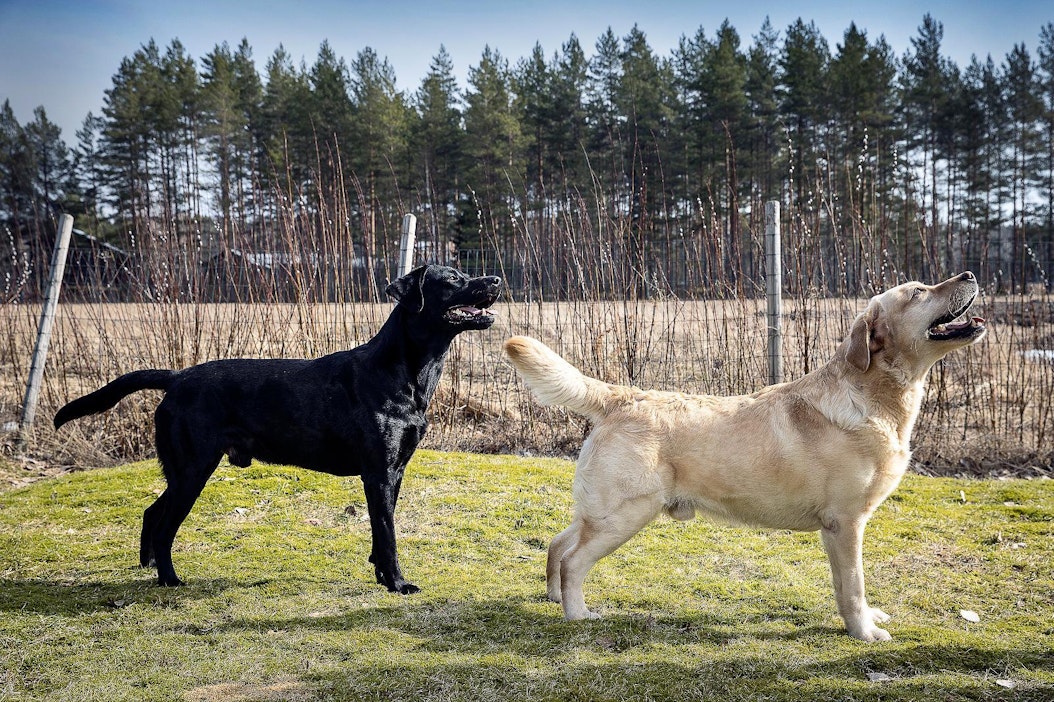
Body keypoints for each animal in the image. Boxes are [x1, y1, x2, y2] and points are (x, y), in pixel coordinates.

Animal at [53, 262, 501, 590]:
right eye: (454, 279)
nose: (496, 279)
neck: (404, 372)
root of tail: (177, 377)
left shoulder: (396, 470)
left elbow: (380, 529)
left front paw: (379, 573)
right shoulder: (379, 473)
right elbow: (388, 535)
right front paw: (397, 583)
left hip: (184, 470)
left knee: (152, 511)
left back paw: (148, 566)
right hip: (193, 469)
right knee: (164, 525)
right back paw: (169, 579)